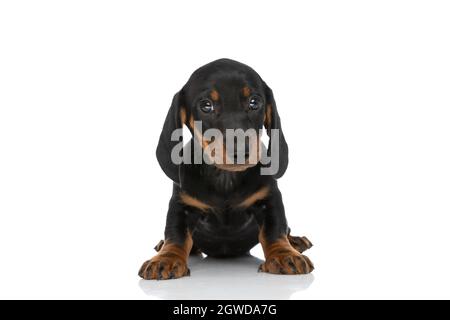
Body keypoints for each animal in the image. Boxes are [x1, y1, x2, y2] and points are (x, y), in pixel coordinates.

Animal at [139, 59, 314, 280]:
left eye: (254, 102)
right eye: (206, 105)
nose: (241, 150)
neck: (225, 177)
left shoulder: (269, 199)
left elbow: (275, 231)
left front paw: (284, 255)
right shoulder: (181, 204)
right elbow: (176, 235)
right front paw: (166, 258)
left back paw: (295, 241)